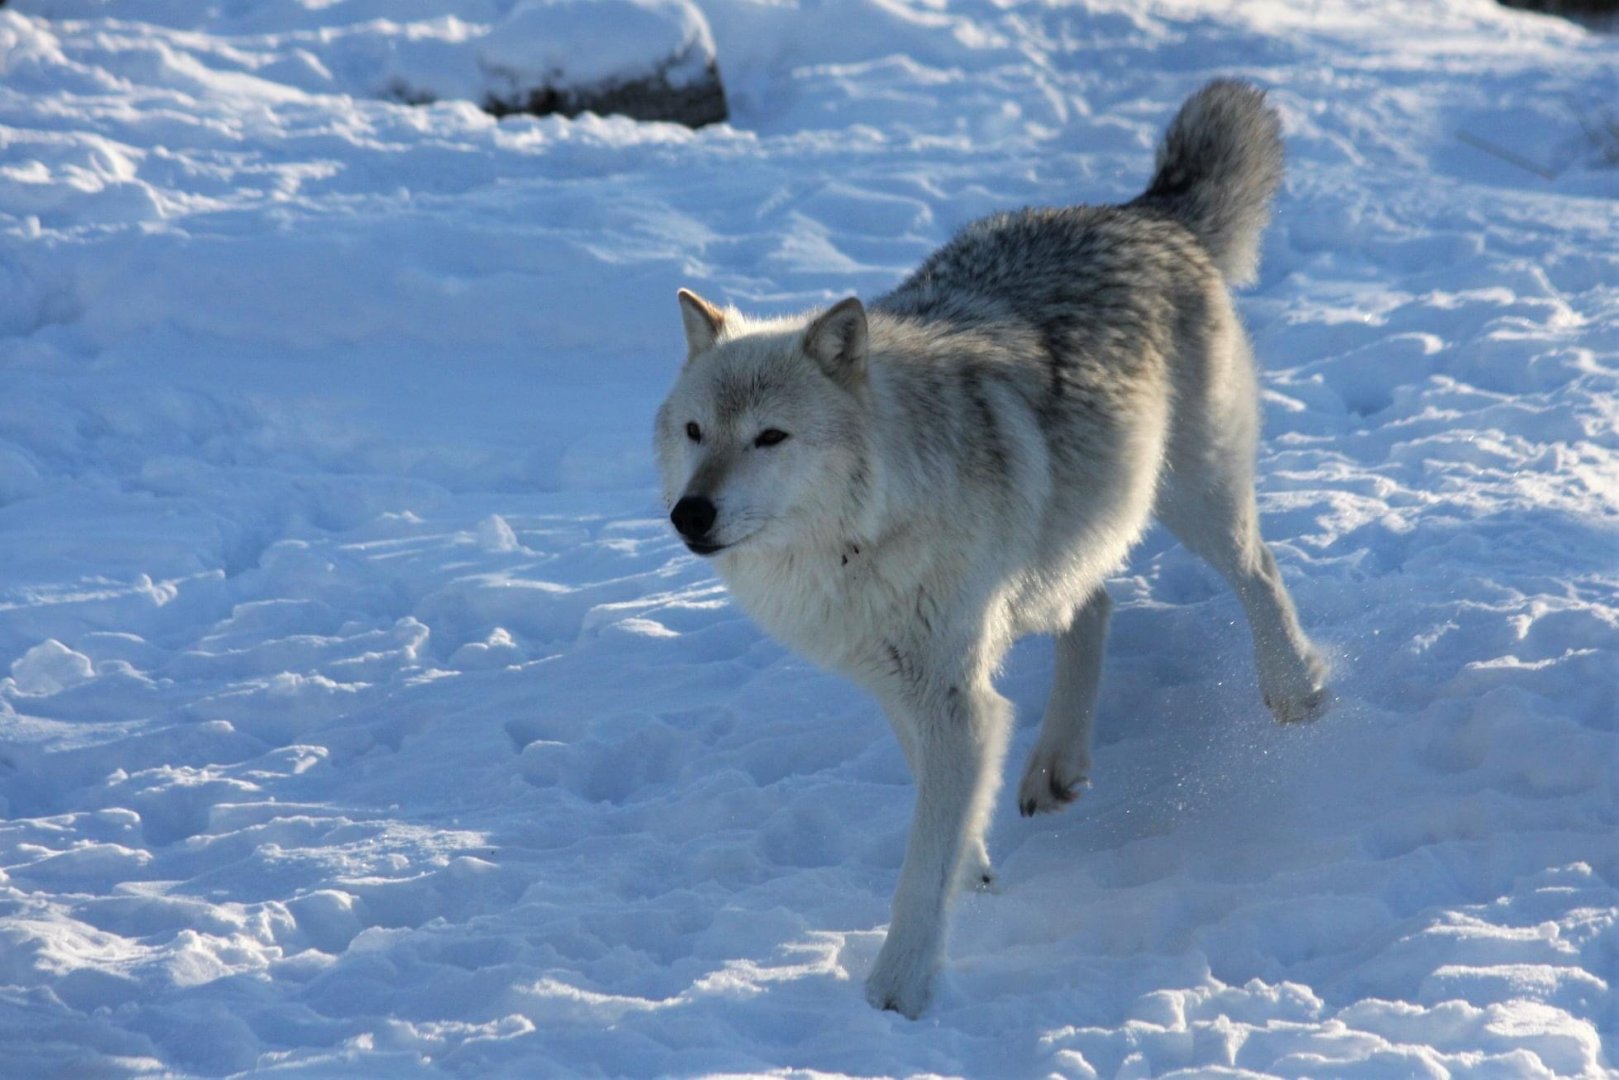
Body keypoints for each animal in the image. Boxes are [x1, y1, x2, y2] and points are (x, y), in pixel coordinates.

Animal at [653, 80, 1328, 1018]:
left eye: (770, 437)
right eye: (695, 431)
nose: (690, 514)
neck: (861, 539)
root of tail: (1140, 211)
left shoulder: (953, 697)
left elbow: (920, 863)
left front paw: (896, 995)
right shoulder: (903, 682)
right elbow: (943, 809)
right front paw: (973, 869)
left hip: (1193, 493)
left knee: (1256, 573)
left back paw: (1294, 690)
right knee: (1098, 602)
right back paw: (1055, 766)